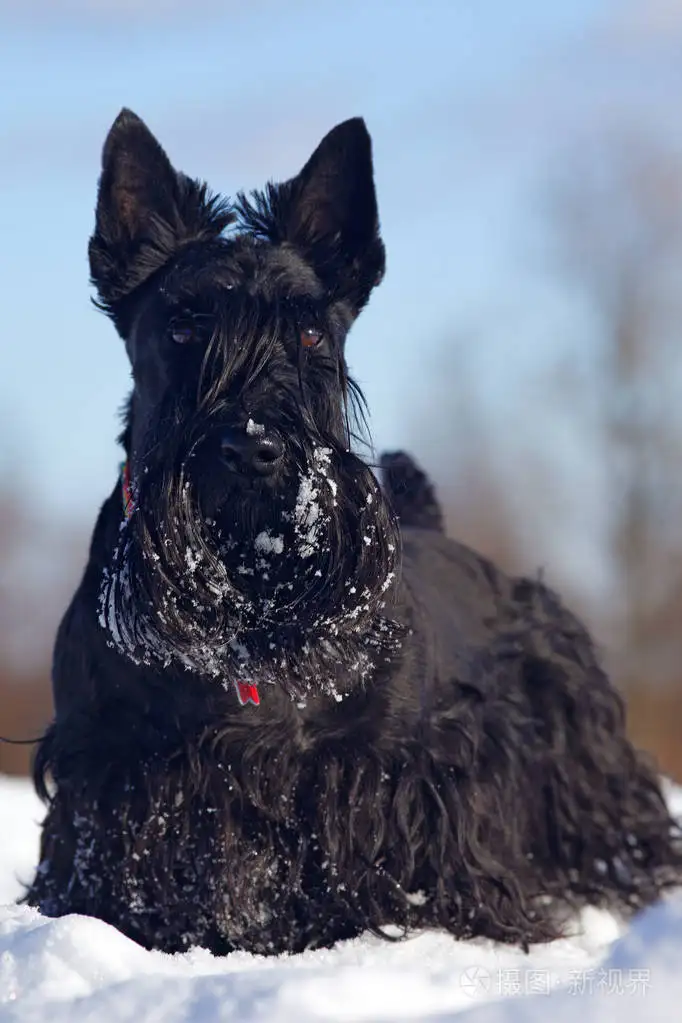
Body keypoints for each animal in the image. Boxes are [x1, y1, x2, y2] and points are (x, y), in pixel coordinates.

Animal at [26, 107, 682, 953]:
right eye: (182, 326)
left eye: (310, 336)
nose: (252, 448)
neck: (248, 610)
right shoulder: (112, 770)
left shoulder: (396, 768)